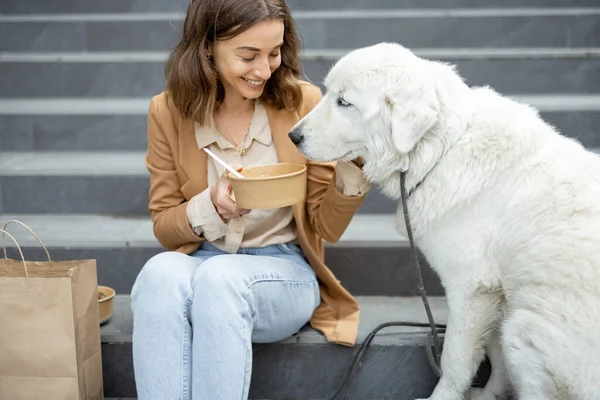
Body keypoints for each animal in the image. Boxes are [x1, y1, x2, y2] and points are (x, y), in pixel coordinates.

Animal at [290, 43, 600, 400]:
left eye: (344, 102)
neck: (439, 151)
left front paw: (445, 395)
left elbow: (455, 357)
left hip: (525, 327)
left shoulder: (470, 289)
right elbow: (494, 355)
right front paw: (490, 394)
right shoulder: (495, 293)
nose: (292, 135)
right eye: (328, 93)